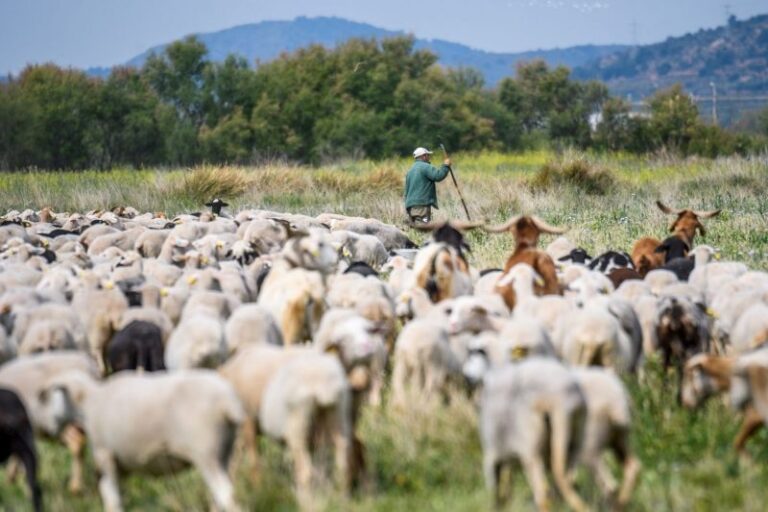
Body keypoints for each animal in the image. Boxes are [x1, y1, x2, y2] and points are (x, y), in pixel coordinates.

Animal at [39, 369, 244, 512]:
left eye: (52, 396)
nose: (50, 429)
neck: (89, 402)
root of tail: (228, 402)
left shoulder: (105, 454)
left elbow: (110, 497)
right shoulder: (121, 463)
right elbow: (116, 495)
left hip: (206, 452)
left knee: (226, 494)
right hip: (224, 451)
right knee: (221, 496)